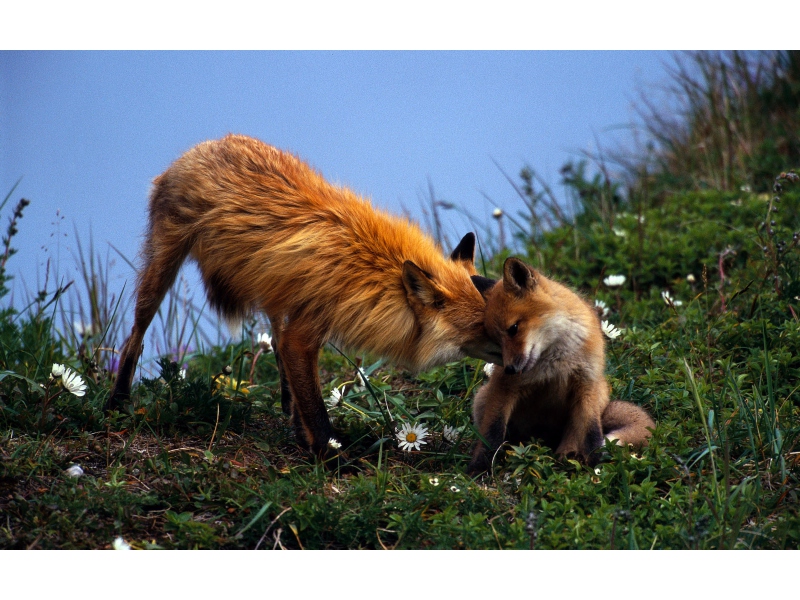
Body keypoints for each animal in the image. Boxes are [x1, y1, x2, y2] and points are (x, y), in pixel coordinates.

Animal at [109, 135, 500, 460]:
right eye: (482, 327)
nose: (516, 356)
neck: (370, 270)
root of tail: (203, 145)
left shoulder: (302, 323)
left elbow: (302, 387)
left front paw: (307, 438)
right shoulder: (305, 333)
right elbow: (316, 409)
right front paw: (333, 459)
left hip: (273, 293)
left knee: (276, 346)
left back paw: (287, 408)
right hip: (162, 270)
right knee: (134, 339)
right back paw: (117, 403)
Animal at [468, 258, 648, 474]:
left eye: (513, 329)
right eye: (496, 341)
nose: (509, 369)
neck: (555, 359)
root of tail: (544, 439)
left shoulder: (586, 382)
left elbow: (592, 433)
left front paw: (596, 464)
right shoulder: (503, 387)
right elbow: (492, 432)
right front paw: (479, 466)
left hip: (598, 394)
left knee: (575, 433)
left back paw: (567, 455)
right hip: (482, 398)